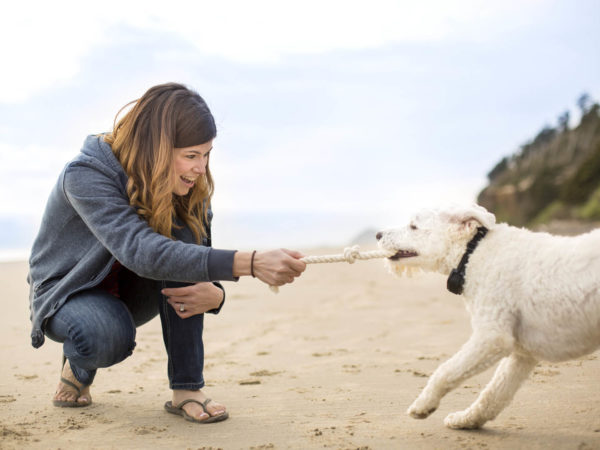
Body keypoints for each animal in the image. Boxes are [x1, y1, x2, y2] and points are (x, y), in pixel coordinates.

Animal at [378, 204, 596, 428]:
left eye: (413, 226)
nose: (378, 235)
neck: (472, 254)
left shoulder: (492, 336)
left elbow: (445, 371)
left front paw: (423, 404)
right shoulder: (522, 353)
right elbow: (495, 394)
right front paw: (466, 420)